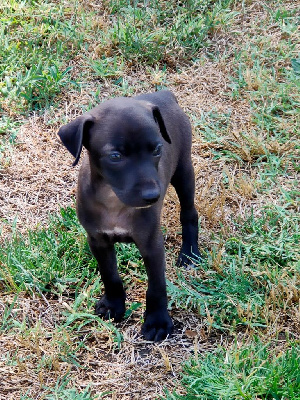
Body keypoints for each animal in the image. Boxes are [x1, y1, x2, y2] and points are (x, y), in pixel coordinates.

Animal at [57, 90, 200, 340]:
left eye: (157, 150)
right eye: (115, 156)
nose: (153, 196)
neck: (114, 200)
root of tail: (164, 93)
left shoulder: (151, 244)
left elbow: (156, 286)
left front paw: (157, 322)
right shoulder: (98, 241)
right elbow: (110, 275)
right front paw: (113, 305)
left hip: (184, 171)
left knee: (189, 213)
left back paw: (190, 253)